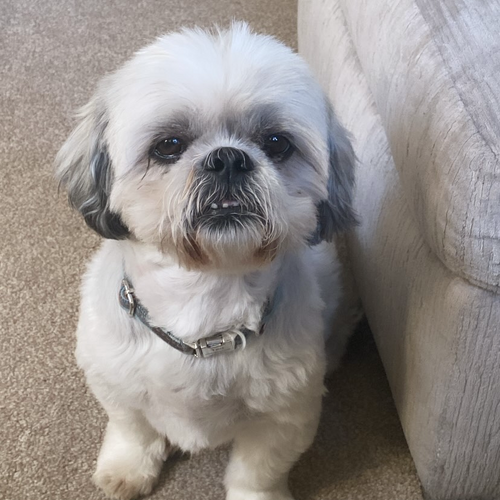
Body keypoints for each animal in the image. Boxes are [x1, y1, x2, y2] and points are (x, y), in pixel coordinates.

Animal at [55, 23, 358, 500]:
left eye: (277, 143)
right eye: (168, 145)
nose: (228, 158)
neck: (203, 299)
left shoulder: (285, 416)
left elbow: (256, 472)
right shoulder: (114, 383)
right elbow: (133, 429)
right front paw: (127, 468)